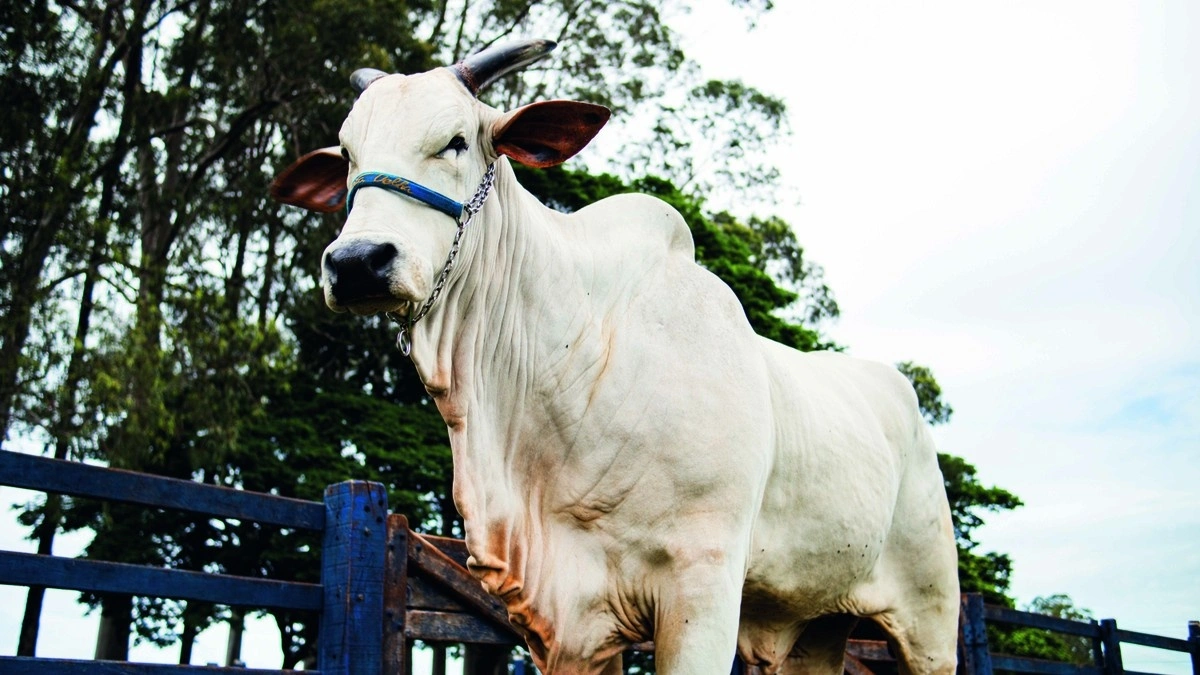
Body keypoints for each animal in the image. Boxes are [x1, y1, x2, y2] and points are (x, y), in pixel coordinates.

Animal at [271, 39, 959, 675]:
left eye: (456, 141)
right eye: (349, 154)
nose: (358, 262)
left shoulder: (704, 583)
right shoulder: (569, 626)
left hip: (931, 621)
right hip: (819, 621)